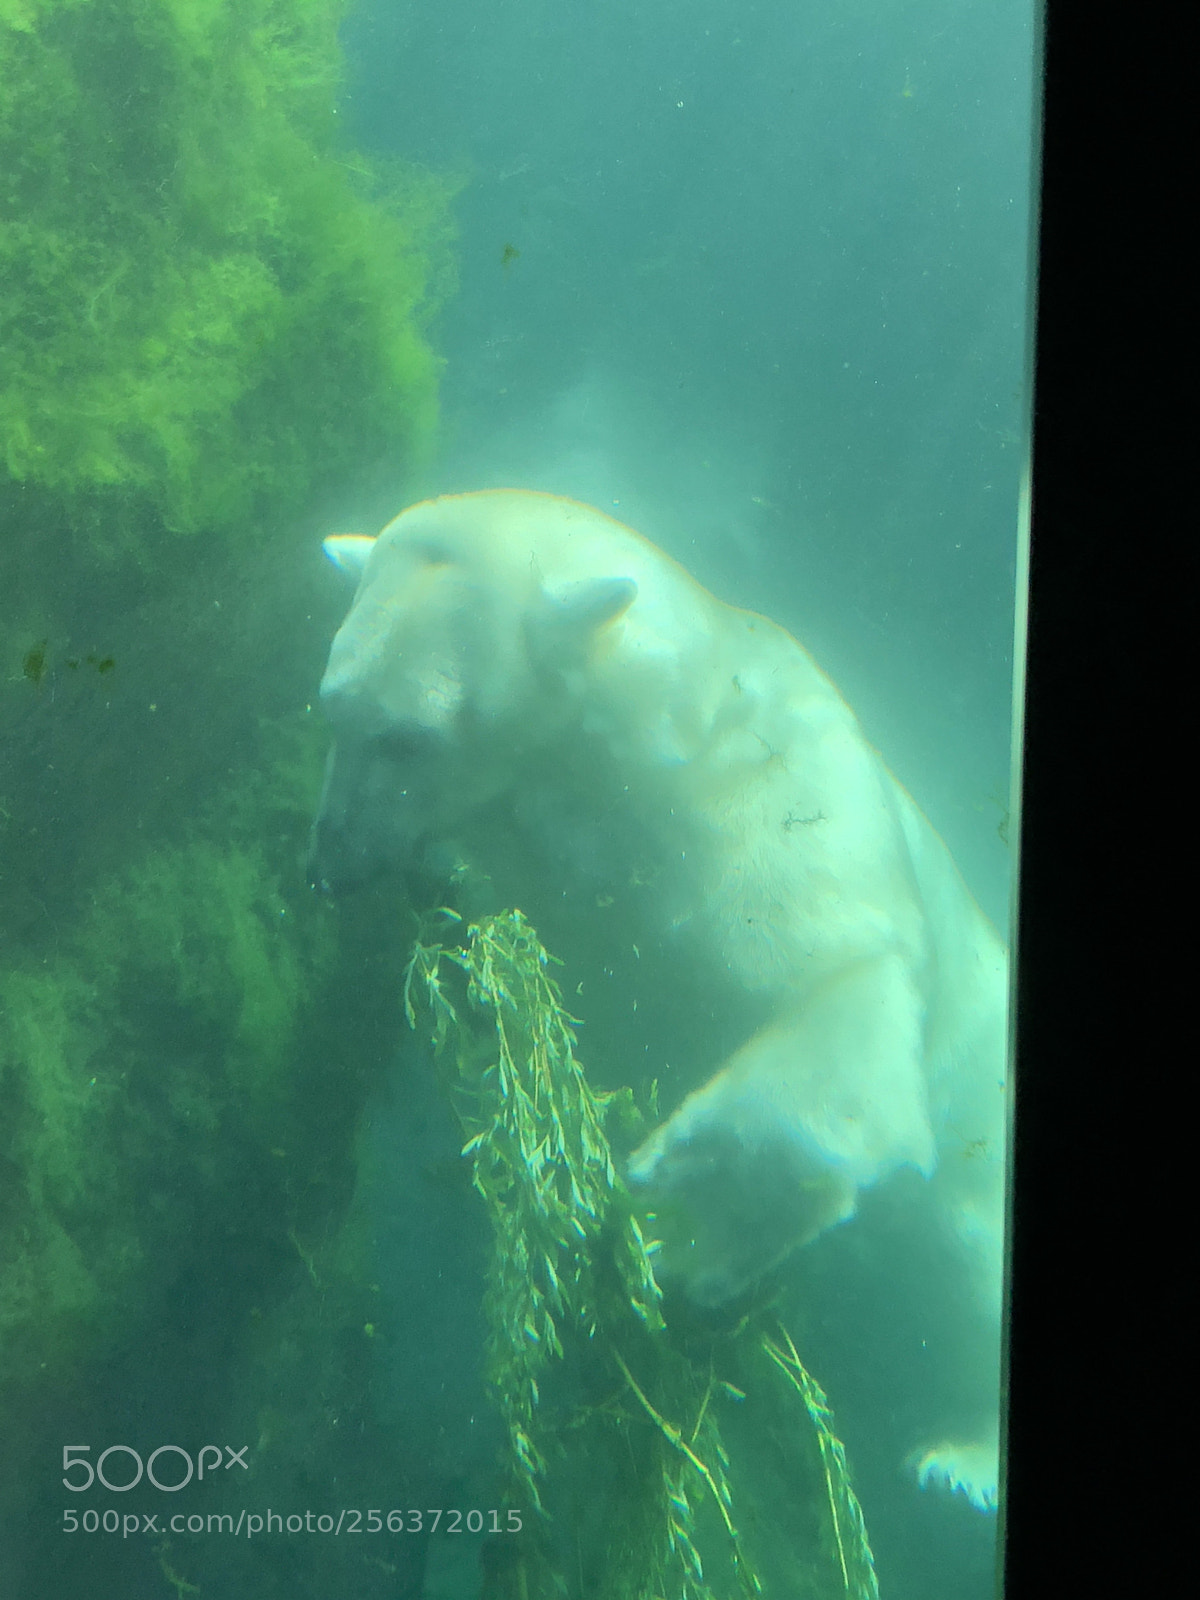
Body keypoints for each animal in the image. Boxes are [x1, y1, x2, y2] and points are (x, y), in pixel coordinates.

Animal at [308, 488, 1008, 1512]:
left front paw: (679, 1200)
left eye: (410, 734)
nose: (328, 863)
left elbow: (839, 1000)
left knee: (967, 1275)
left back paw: (955, 1462)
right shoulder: (552, 868)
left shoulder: (777, 828)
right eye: (332, 707)